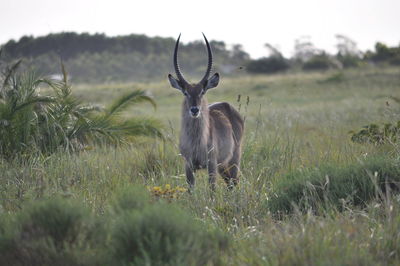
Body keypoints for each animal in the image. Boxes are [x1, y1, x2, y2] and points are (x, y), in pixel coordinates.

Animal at [166, 33, 242, 191]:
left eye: (202, 91)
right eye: (185, 92)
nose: (194, 110)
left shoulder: (211, 165)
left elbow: (212, 190)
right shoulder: (188, 166)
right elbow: (190, 190)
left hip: (234, 159)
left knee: (234, 182)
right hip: (223, 166)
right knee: (230, 182)